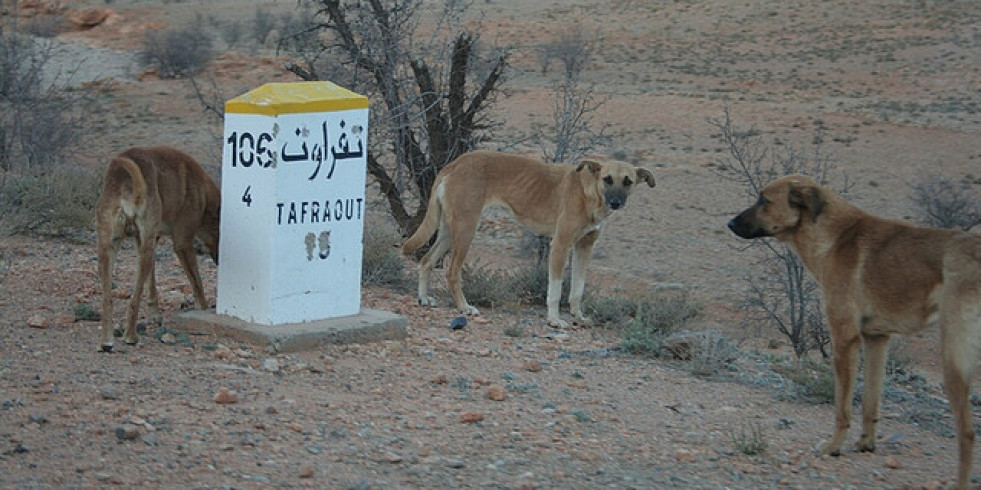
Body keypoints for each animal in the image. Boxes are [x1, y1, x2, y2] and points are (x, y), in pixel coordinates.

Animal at [94, 145, 220, 352]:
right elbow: (197, 284)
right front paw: (204, 309)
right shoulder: (182, 243)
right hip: (141, 248)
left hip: (109, 247)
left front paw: (154, 314)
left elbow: (151, 282)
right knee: (133, 300)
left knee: (107, 300)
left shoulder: (150, 238)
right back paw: (130, 336)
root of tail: (126, 187)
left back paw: (106, 341)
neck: (203, 192)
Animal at [402, 149, 656, 326]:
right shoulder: (560, 244)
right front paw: (554, 320)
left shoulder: (585, 247)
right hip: (465, 230)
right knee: (452, 272)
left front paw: (578, 316)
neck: (590, 193)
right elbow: (555, 289)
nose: (616, 202)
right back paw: (464, 307)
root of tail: (455, 163)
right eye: (607, 179)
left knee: (425, 261)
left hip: (448, 231)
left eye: (628, 181)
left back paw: (423, 298)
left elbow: (578, 289)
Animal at [728, 174, 980, 488]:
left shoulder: (844, 338)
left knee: (967, 433)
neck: (832, 235)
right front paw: (866, 444)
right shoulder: (876, 339)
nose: (730, 224)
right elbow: (871, 401)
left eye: (764, 199)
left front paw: (833, 447)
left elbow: (842, 406)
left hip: (954, 358)